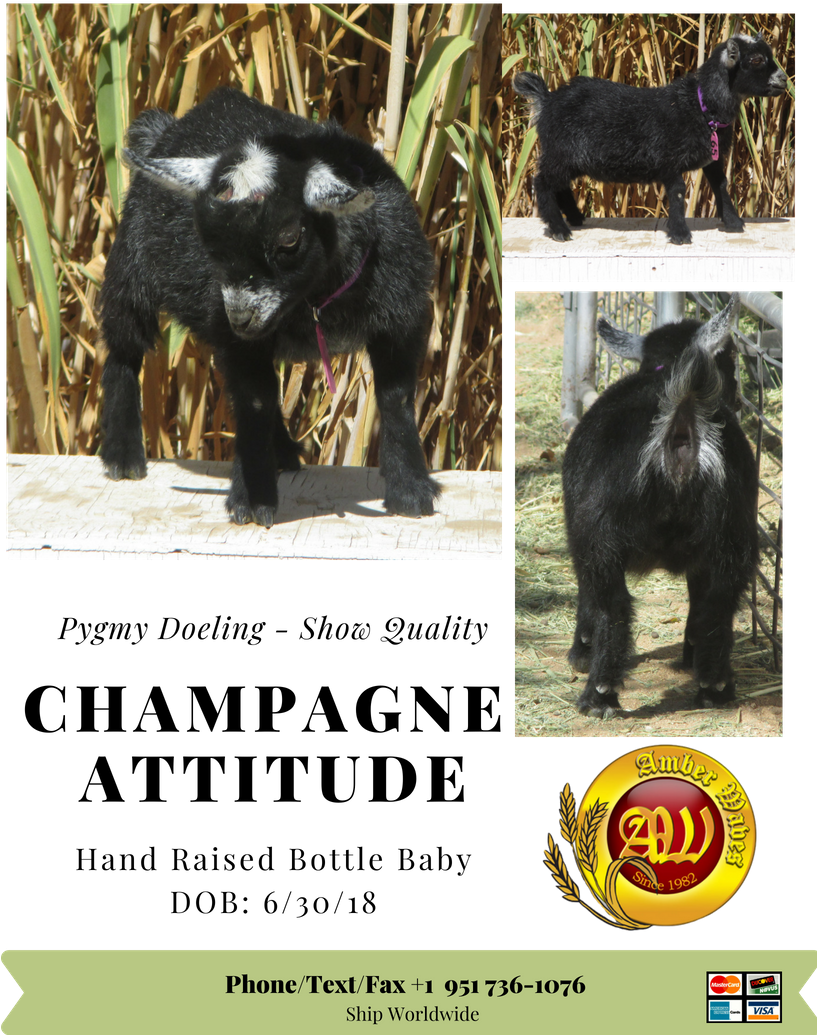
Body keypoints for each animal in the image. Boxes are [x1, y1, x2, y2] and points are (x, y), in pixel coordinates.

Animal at [98, 88, 440, 526]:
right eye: (207, 241)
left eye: (289, 238)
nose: (240, 316)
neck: (315, 302)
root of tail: (167, 126)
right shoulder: (238, 341)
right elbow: (254, 404)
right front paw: (252, 497)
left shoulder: (402, 317)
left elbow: (396, 399)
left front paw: (410, 491)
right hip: (130, 265)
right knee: (123, 350)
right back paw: (122, 455)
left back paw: (284, 453)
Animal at [514, 33, 787, 245]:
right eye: (756, 59)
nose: (784, 79)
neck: (699, 106)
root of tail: (547, 100)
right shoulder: (669, 158)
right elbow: (678, 193)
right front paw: (680, 234)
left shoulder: (712, 158)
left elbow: (721, 184)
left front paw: (733, 222)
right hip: (560, 151)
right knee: (542, 183)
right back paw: (559, 229)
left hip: (571, 159)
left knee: (559, 185)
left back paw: (575, 217)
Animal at [562, 293, 759, 718]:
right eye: (728, 357)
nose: (737, 397)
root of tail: (680, 427)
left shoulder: (581, 530)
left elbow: (588, 597)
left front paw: (580, 651)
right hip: (732, 532)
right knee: (716, 604)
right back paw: (715, 686)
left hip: (599, 533)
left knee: (612, 605)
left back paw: (598, 694)